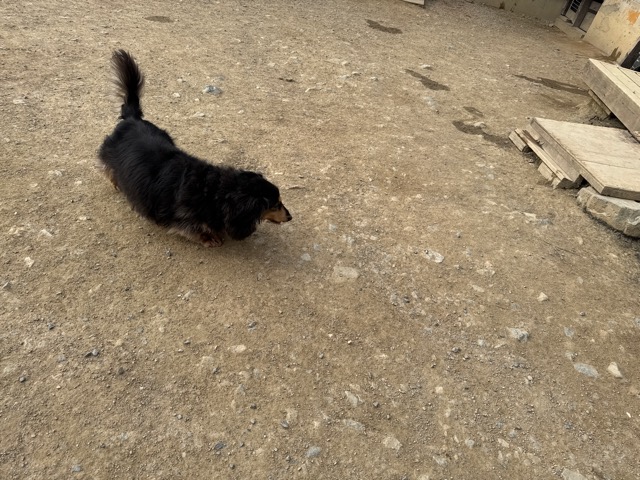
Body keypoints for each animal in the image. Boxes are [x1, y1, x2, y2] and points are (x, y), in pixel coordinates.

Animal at [98, 50, 291, 247]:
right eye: (275, 205)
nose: (290, 217)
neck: (217, 193)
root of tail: (132, 118)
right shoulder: (182, 216)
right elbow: (193, 227)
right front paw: (210, 237)